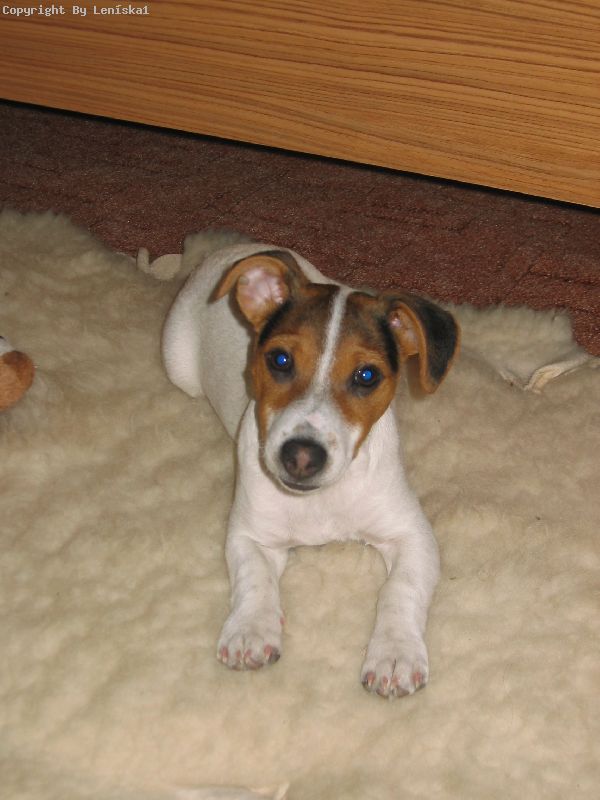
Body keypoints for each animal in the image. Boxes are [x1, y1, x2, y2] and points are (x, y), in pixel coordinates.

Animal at [162, 230, 459, 698]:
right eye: (280, 360)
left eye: (367, 376)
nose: (301, 455)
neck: (320, 501)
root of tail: (226, 248)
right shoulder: (250, 534)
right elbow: (254, 579)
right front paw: (250, 628)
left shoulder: (413, 534)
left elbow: (401, 589)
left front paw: (395, 653)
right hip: (178, 366)